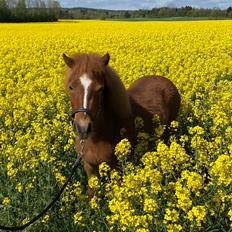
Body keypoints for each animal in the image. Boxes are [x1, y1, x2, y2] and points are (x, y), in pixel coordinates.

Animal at [62, 52, 180, 194]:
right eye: (71, 87)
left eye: (100, 89)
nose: (83, 128)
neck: (97, 138)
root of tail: (165, 80)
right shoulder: (89, 167)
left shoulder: (116, 168)